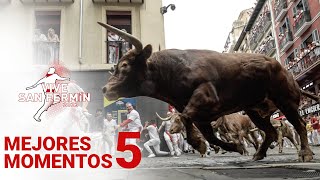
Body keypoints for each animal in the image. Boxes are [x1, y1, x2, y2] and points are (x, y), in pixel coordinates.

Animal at [99, 22, 318, 162]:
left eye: (125, 65)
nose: (105, 88)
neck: (171, 70)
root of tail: (283, 68)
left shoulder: (205, 98)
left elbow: (187, 118)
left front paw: (199, 144)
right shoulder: (202, 116)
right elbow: (210, 136)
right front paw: (234, 147)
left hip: (285, 101)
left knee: (299, 125)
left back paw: (305, 153)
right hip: (255, 111)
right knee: (271, 132)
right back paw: (259, 154)